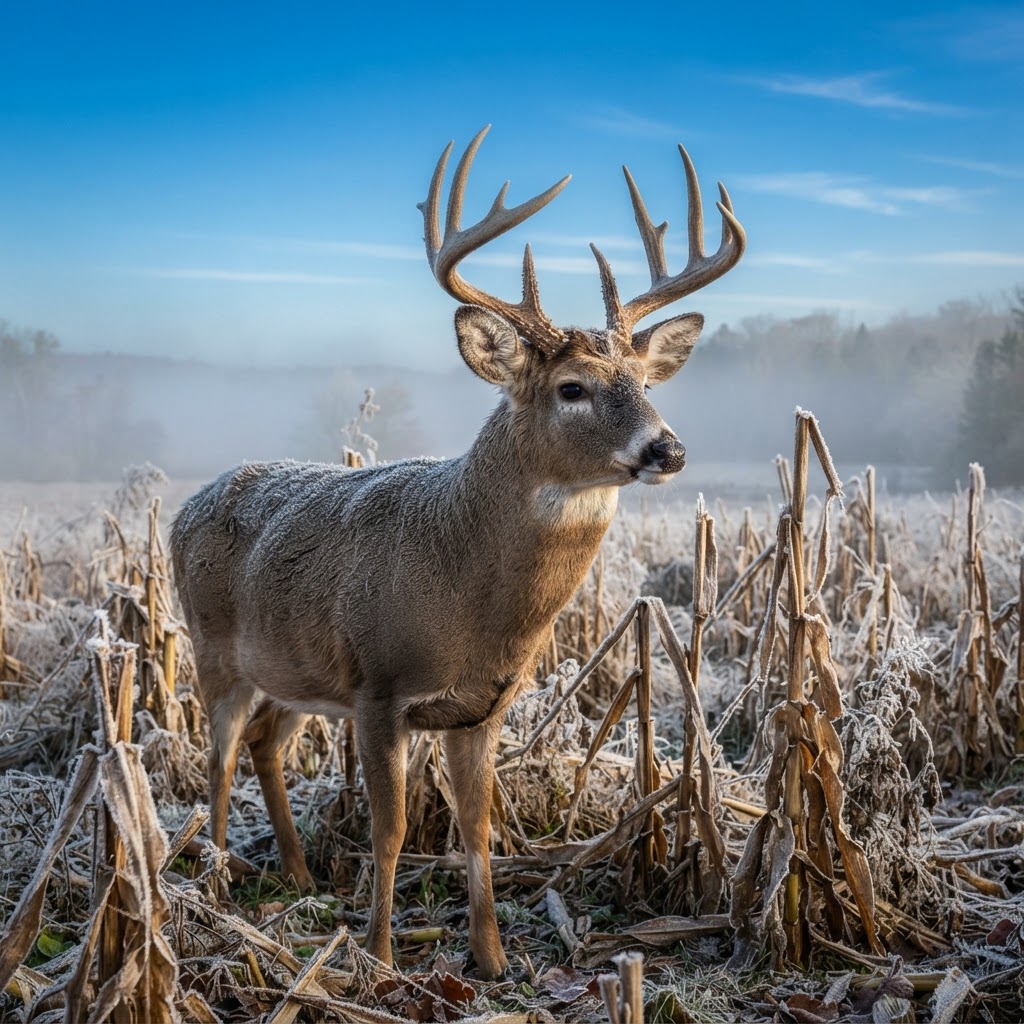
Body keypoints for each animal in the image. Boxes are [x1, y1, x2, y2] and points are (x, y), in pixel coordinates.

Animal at [170, 125, 745, 979]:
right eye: (572, 387)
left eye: (645, 381)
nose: (666, 448)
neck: (466, 591)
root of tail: (188, 503)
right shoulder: (380, 688)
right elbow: (391, 830)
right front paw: (379, 957)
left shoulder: (482, 706)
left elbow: (477, 829)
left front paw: (493, 958)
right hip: (214, 649)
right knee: (217, 757)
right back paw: (212, 883)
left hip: (297, 671)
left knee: (267, 743)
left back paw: (299, 874)